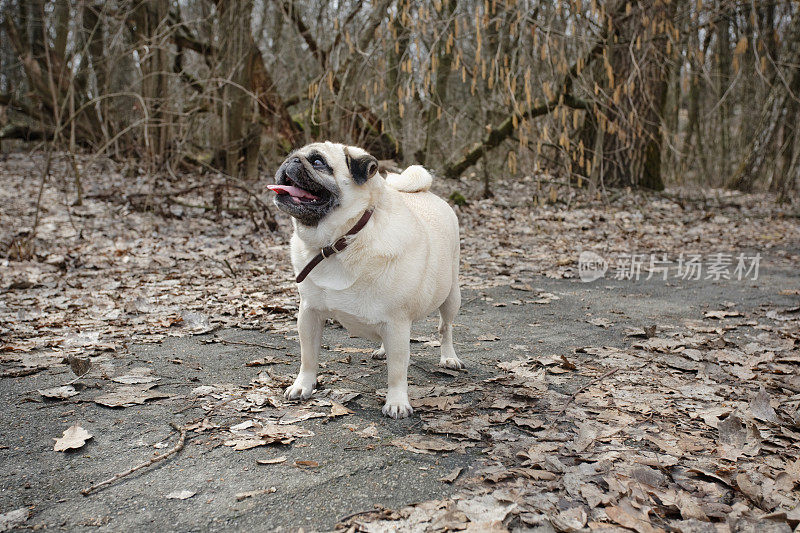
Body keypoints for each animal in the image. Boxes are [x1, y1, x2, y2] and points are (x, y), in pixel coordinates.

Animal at [268, 142, 462, 420]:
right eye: (292, 155)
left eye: (317, 162)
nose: (290, 161)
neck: (341, 241)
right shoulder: (309, 313)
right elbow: (308, 356)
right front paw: (303, 386)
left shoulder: (397, 322)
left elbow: (397, 370)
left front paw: (396, 402)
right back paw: (382, 350)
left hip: (451, 297)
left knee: (445, 329)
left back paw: (448, 358)